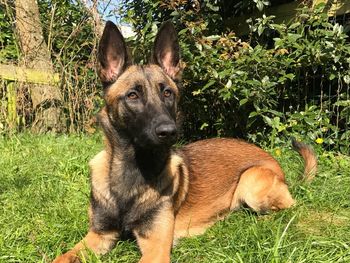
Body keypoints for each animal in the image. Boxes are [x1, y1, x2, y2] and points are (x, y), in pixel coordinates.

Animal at [52, 21, 318, 263]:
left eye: (167, 93)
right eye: (133, 95)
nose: (169, 131)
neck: (131, 173)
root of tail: (276, 165)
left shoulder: (156, 249)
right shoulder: (98, 235)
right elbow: (61, 257)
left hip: (251, 181)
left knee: (287, 209)